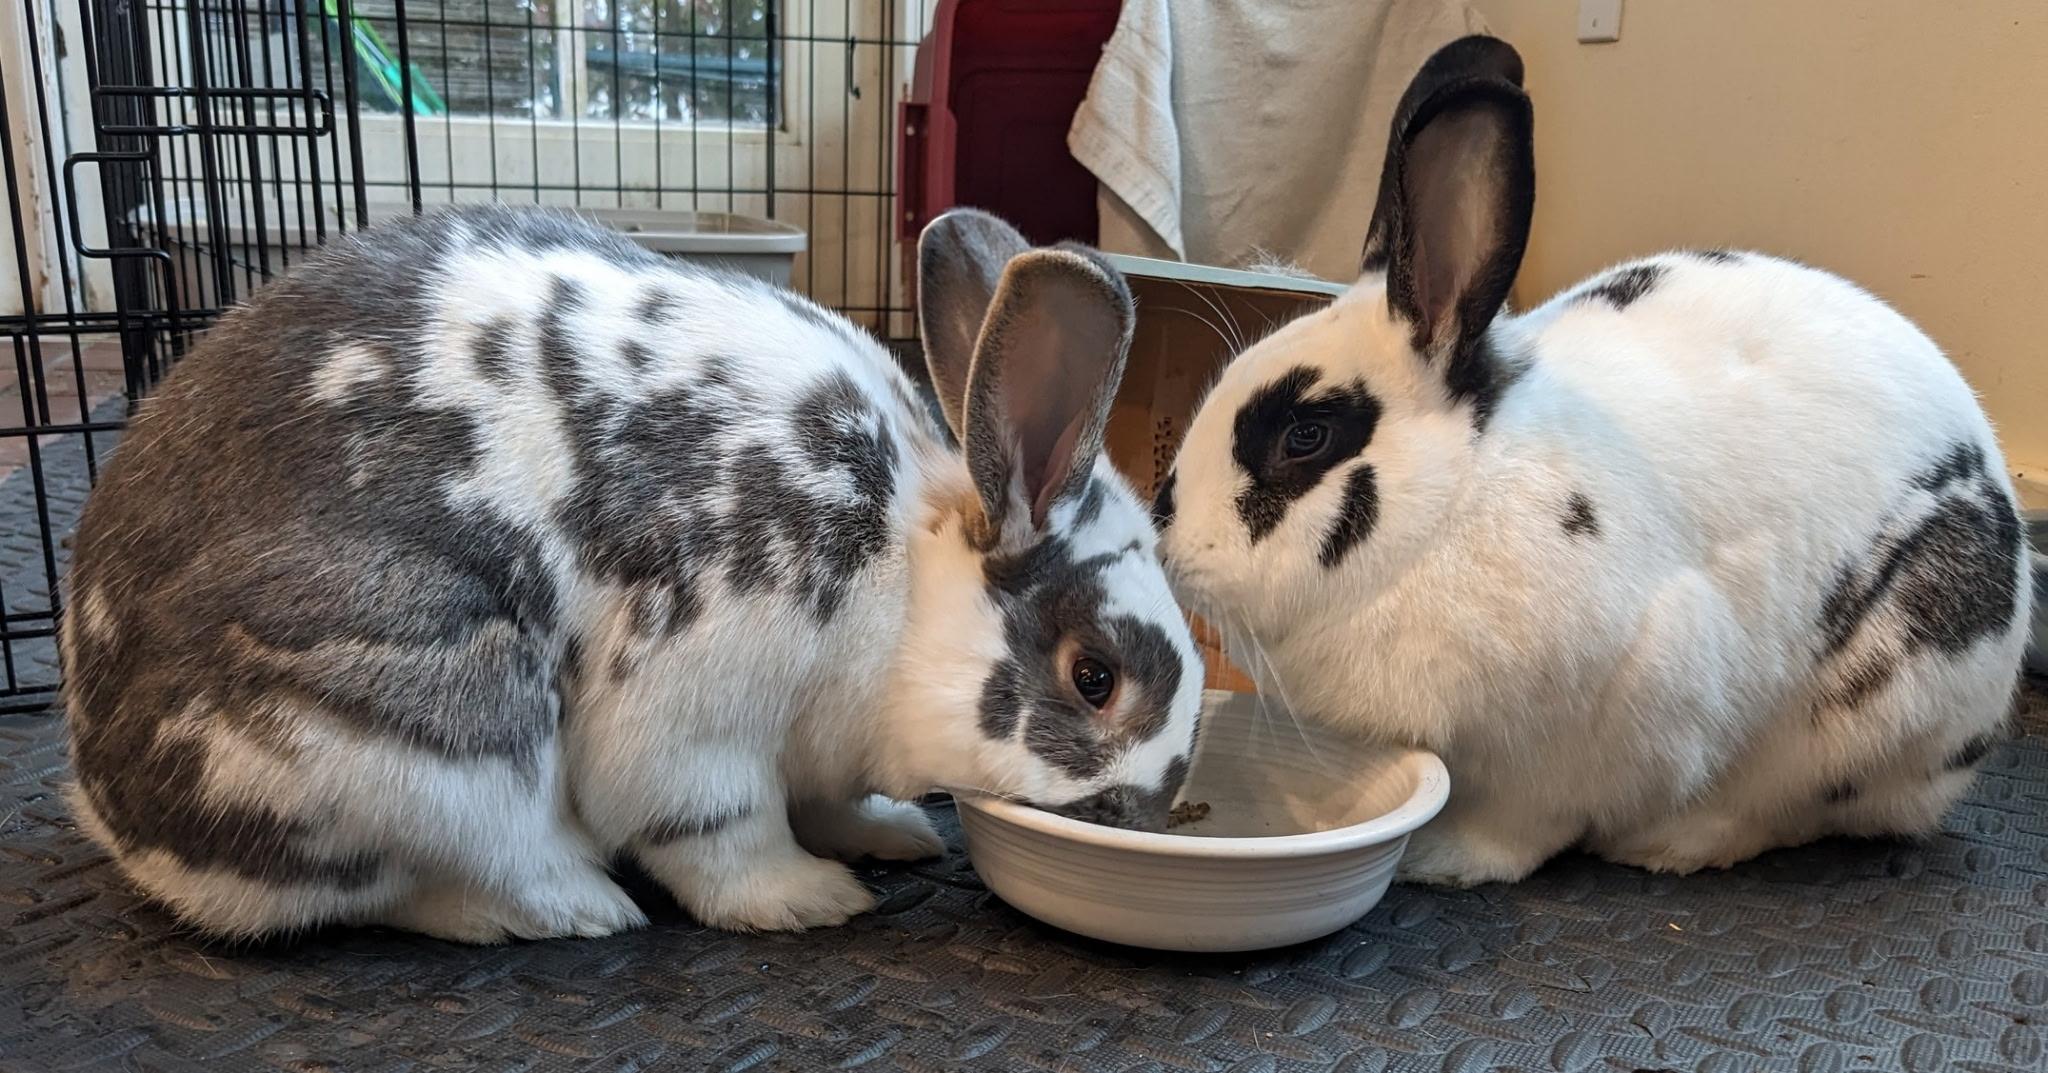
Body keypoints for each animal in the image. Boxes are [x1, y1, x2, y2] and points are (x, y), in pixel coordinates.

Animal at [60, 204, 1203, 941]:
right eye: (1094, 676)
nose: (1151, 811)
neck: (898, 573)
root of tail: (113, 815)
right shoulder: (696, 711)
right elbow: (715, 832)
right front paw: (810, 895)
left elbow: (828, 800)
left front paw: (889, 833)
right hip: (425, 723)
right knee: (426, 881)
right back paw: (574, 906)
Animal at [1152, 35, 2036, 887]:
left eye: (1306, 437)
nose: (1165, 537)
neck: (1454, 506)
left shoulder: (1587, 731)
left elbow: (1520, 827)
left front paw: (1441, 860)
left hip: (1876, 710)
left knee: (1794, 810)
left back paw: (1675, 843)